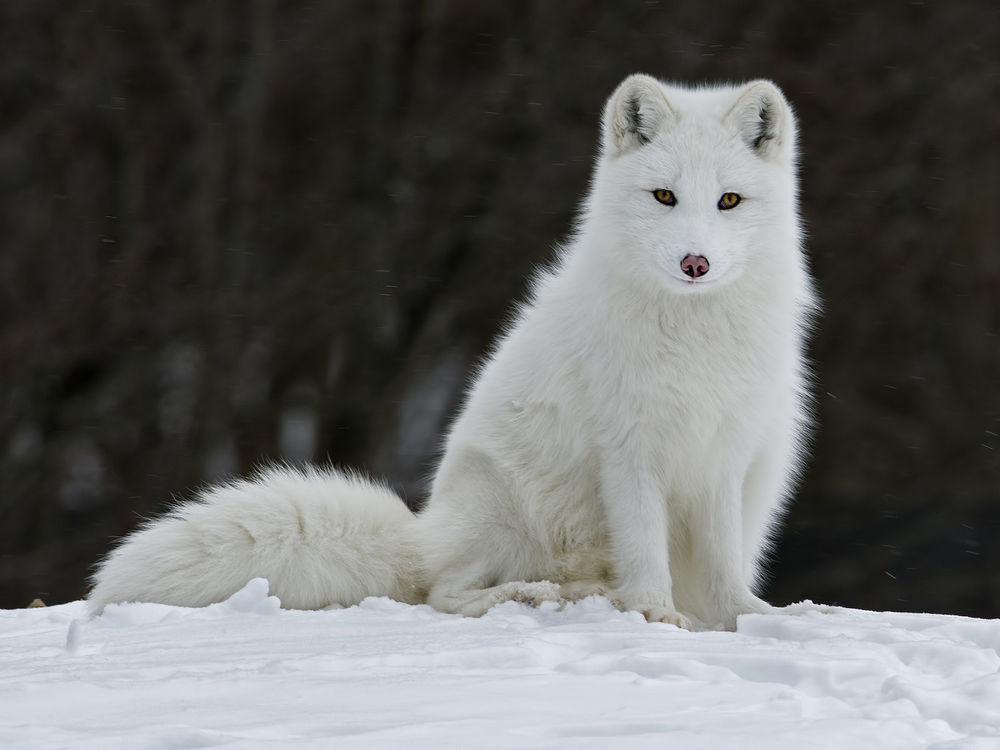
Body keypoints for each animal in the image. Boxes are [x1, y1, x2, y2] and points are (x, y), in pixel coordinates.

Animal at [90, 76, 816, 632]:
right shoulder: (630, 455)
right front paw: (658, 616)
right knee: (444, 592)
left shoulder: (724, 455)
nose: (696, 263)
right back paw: (540, 595)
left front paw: (749, 618)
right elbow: (646, 552)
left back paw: (582, 593)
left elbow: (722, 567)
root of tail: (423, 531)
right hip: (501, 503)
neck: (693, 336)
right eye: (664, 195)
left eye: (728, 200)